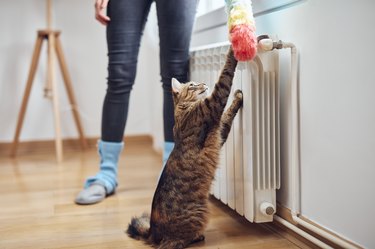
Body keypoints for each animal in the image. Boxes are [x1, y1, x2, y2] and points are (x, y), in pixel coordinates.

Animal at [126, 47, 244, 249]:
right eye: (192, 85)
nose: (203, 83)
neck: (183, 109)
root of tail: (152, 232)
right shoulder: (214, 104)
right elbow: (225, 76)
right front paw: (234, 46)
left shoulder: (218, 130)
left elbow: (228, 115)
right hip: (198, 213)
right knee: (173, 244)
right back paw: (195, 237)